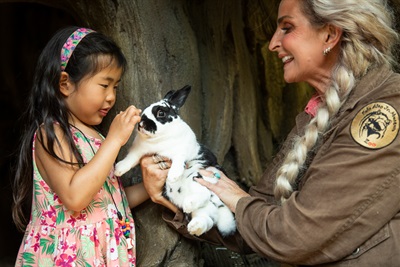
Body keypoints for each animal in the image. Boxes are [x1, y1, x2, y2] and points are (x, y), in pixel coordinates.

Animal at [114, 85, 236, 237]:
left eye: (161, 113)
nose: (141, 124)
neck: (160, 139)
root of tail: (221, 208)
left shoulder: (183, 149)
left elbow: (179, 159)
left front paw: (173, 176)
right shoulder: (138, 150)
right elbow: (130, 159)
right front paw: (118, 170)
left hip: (198, 176)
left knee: (205, 193)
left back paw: (189, 203)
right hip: (204, 210)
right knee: (206, 220)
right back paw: (194, 226)